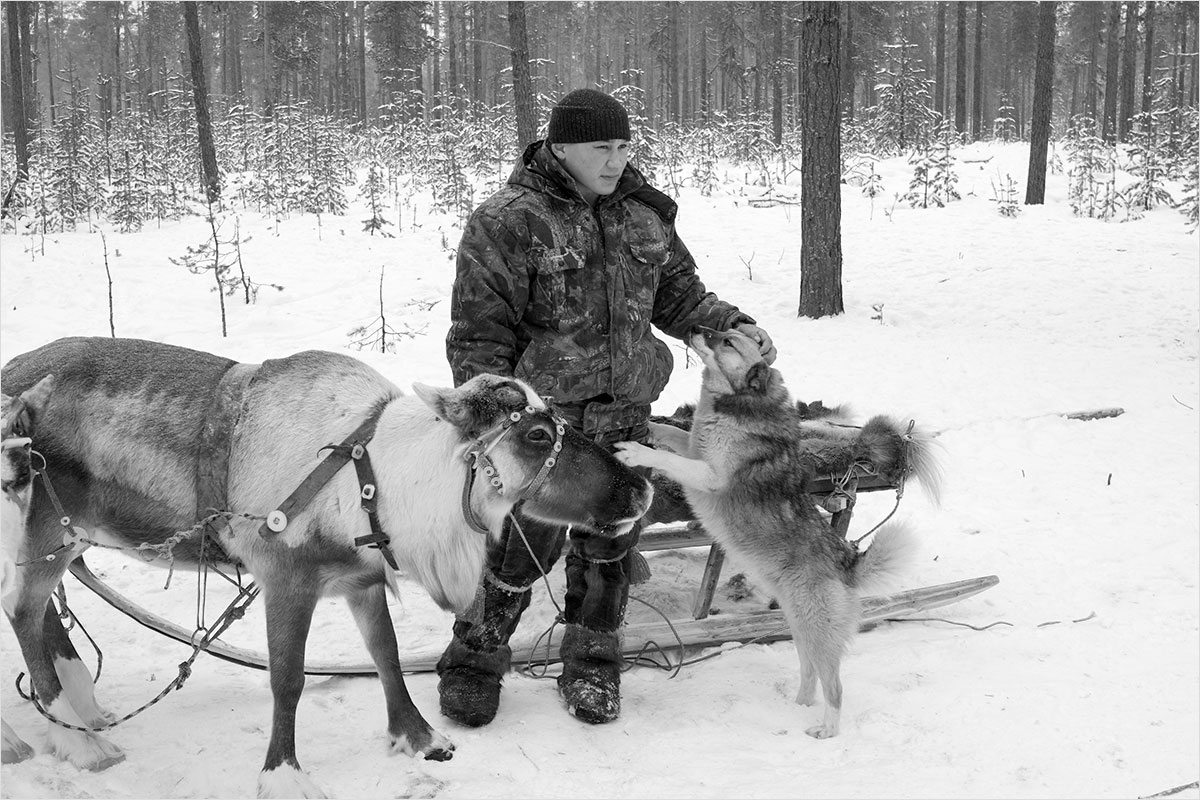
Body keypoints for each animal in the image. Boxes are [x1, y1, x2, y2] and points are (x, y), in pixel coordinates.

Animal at [2, 335, 657, 796]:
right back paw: (74, 739)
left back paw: (82, 712)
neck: (380, 482)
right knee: (23, 610)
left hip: (69, 539)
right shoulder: (286, 579)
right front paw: (283, 775)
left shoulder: (359, 578)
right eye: (537, 435)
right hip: (42, 529)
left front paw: (421, 739)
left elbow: (387, 656)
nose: (641, 487)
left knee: (39, 612)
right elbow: (287, 680)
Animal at [614, 326, 940, 738]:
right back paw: (798, 704)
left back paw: (826, 730)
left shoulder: (709, 475)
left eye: (728, 342)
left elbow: (667, 457)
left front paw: (636, 451)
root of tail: (848, 560)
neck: (735, 406)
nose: (696, 329)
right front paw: (649, 428)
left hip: (815, 631)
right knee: (810, 673)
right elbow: (669, 431)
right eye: (724, 332)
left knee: (835, 686)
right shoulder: (691, 449)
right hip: (799, 627)